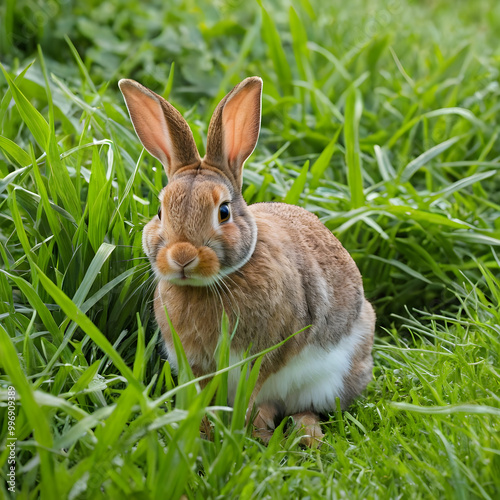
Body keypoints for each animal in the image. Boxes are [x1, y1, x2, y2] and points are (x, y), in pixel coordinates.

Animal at [118, 77, 376, 446]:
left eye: (223, 211)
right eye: (159, 212)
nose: (182, 256)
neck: (214, 283)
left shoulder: (269, 351)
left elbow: (253, 390)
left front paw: (247, 431)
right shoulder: (195, 362)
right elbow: (204, 394)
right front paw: (202, 431)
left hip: (333, 377)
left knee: (305, 408)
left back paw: (304, 437)